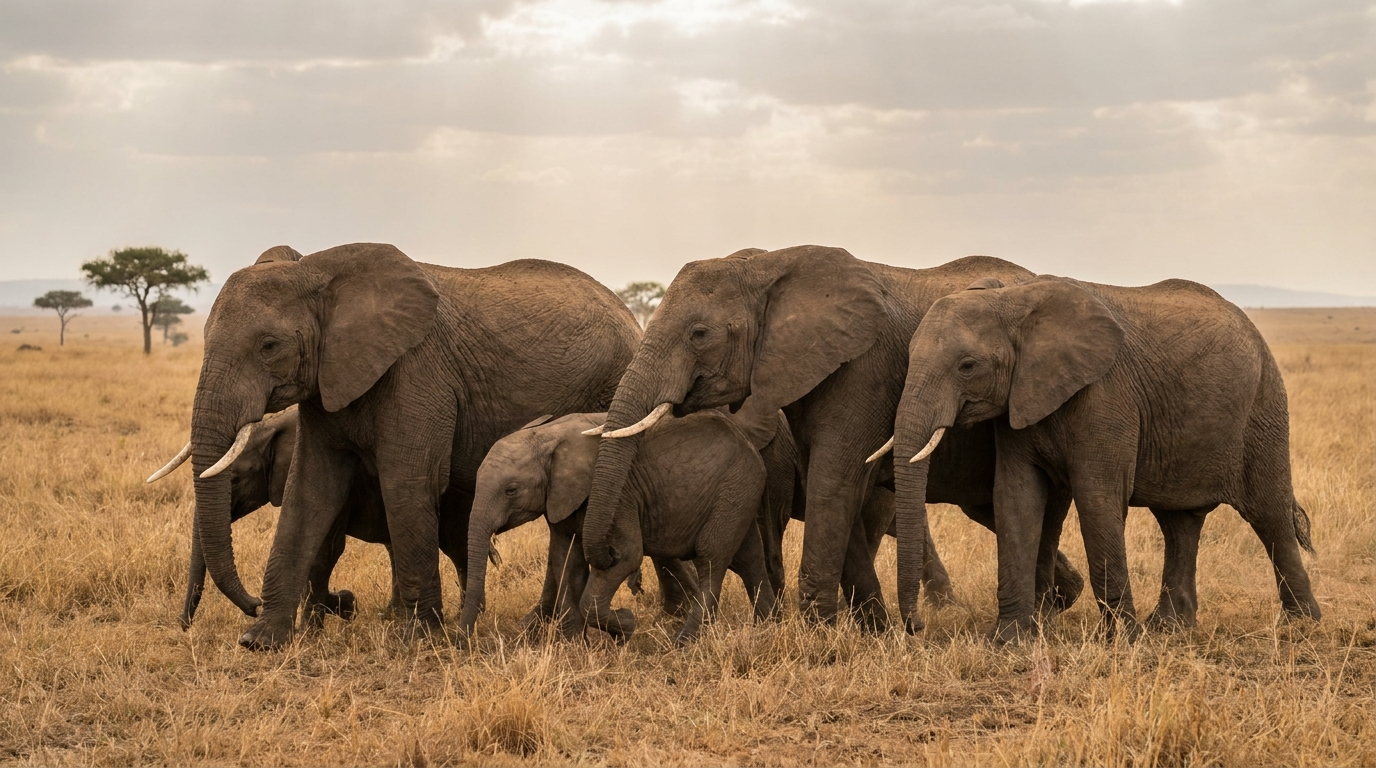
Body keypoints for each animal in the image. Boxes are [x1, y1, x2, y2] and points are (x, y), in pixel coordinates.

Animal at [149, 243, 640, 649]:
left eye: (269, 346)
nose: (249, 605)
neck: (318, 272)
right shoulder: (327, 383)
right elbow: (309, 491)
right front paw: (262, 641)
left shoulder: (417, 373)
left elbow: (406, 484)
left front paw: (416, 638)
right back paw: (537, 626)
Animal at [579, 245, 1085, 631]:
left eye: (699, 333)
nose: (916, 628)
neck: (766, 266)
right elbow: (843, 490)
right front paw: (871, 629)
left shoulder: (864, 370)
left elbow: (833, 480)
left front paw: (816, 632)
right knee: (991, 510)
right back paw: (1063, 600)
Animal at [890, 275, 1320, 642]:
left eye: (967, 366)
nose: (917, 627)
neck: (1014, 299)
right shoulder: (1021, 401)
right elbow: (1016, 498)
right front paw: (1008, 640)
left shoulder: (1105, 395)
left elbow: (1097, 499)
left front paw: (1121, 641)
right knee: (1179, 523)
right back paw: (1169, 628)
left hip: (1263, 409)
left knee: (1270, 515)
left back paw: (1301, 624)